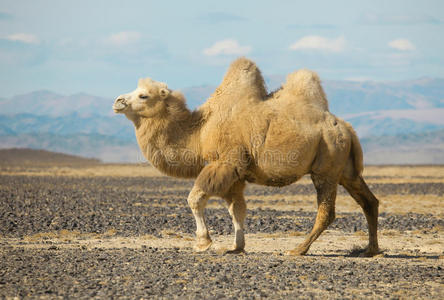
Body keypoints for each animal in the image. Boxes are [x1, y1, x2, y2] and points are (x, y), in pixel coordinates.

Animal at [112, 57, 380, 256]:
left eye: (144, 95)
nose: (118, 101)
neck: (200, 131)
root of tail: (347, 129)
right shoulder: (238, 173)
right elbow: (237, 208)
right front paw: (236, 247)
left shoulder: (225, 161)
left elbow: (195, 198)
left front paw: (203, 242)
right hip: (346, 170)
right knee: (369, 201)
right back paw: (370, 250)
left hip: (326, 166)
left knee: (327, 211)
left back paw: (298, 249)